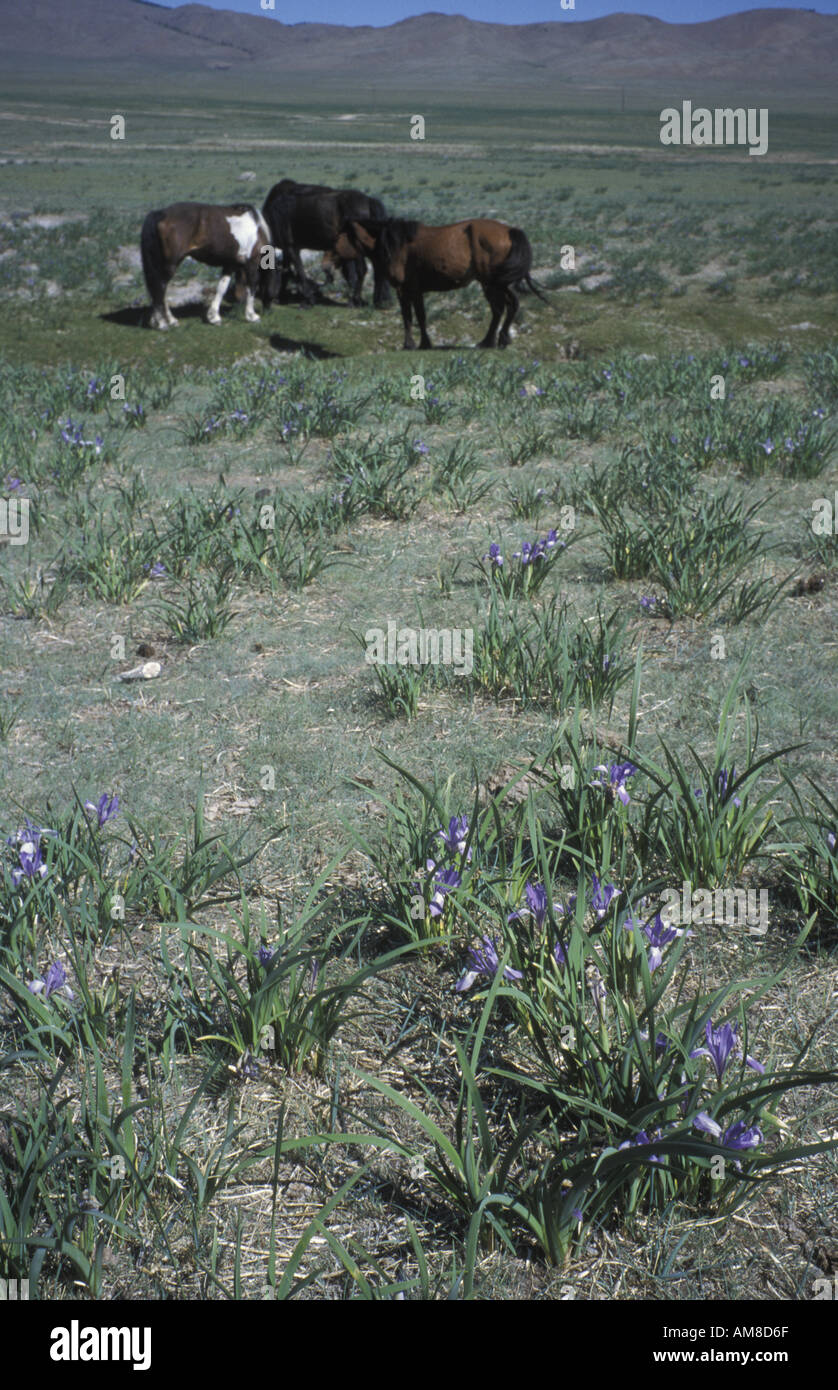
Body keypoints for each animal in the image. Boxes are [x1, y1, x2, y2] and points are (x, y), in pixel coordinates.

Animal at [140, 202, 275, 330]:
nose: (269, 309)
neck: (258, 229)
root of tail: (161, 213)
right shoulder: (252, 263)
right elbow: (251, 287)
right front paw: (252, 315)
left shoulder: (230, 265)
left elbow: (221, 288)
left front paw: (214, 317)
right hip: (171, 264)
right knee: (160, 287)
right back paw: (162, 323)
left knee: (159, 290)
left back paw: (167, 320)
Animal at [262, 179, 392, 308]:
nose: (269, 298)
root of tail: (368, 201)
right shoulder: (289, 249)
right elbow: (289, 269)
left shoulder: (291, 247)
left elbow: (299, 271)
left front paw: (308, 299)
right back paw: (376, 300)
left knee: (362, 270)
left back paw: (356, 300)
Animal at [342, 217, 547, 350]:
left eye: (344, 234)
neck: (396, 245)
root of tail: (509, 231)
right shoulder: (412, 291)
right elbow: (415, 316)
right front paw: (421, 343)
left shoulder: (406, 290)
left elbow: (412, 316)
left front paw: (415, 344)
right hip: (490, 284)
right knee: (500, 309)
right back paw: (488, 342)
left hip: (494, 283)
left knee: (509, 304)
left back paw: (501, 339)